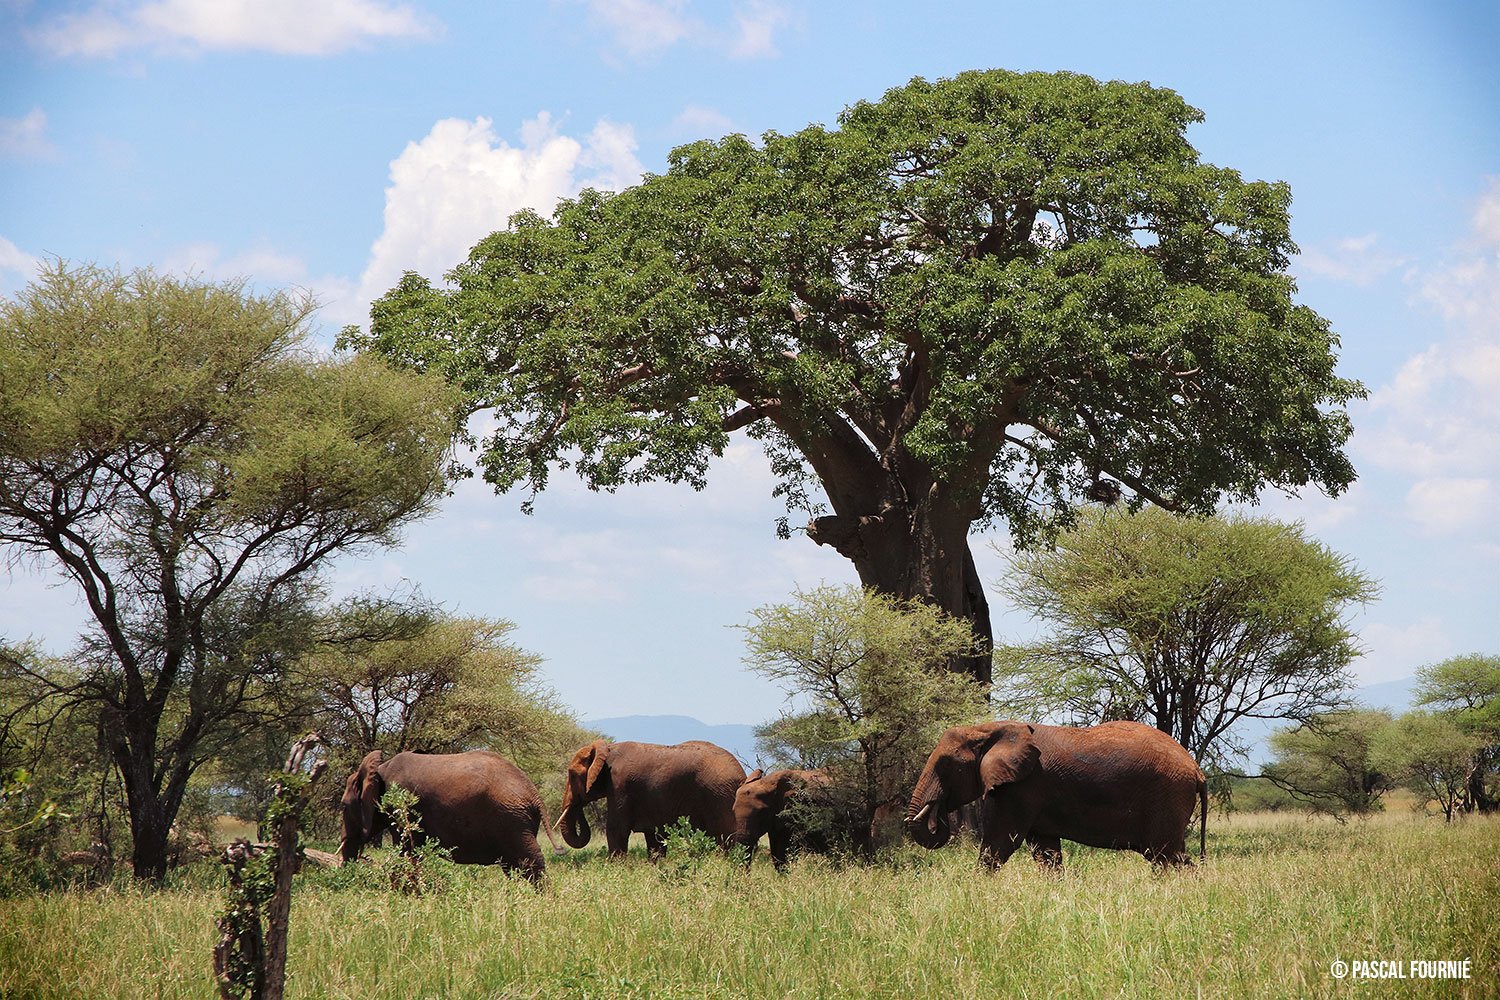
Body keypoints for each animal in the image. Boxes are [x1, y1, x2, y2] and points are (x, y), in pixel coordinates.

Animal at [339, 749, 560, 883]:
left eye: (343, 806)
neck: (378, 770)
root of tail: (533, 793)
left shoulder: (402, 805)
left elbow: (407, 852)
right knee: (514, 866)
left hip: (511, 819)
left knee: (530, 862)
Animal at [556, 739, 746, 858]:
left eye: (572, 775)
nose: (560, 851)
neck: (607, 748)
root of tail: (741, 775)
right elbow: (654, 837)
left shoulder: (619, 785)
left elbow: (616, 829)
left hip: (720, 797)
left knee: (726, 839)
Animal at [904, 720, 1207, 869]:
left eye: (946, 764)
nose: (937, 813)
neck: (986, 729)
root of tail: (1196, 768)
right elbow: (1046, 852)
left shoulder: (1020, 787)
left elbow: (999, 845)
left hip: (1168, 797)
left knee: (1168, 857)